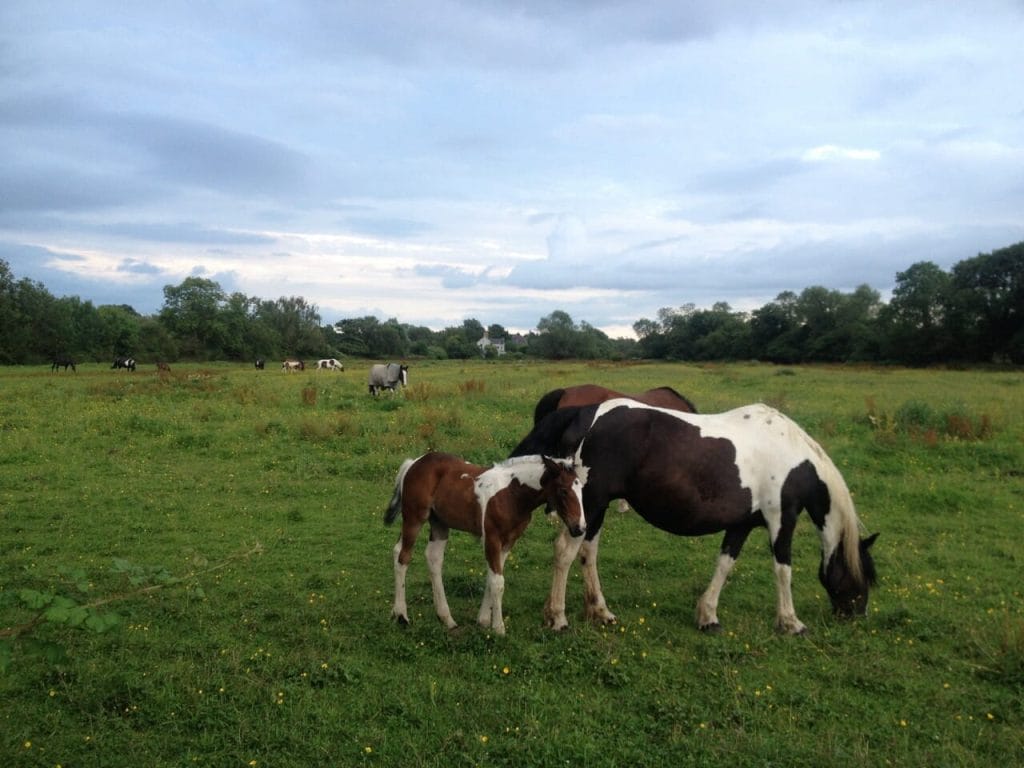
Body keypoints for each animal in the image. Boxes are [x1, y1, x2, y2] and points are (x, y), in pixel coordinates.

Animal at [385, 450, 589, 638]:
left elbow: (492, 578)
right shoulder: (492, 538)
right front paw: (498, 628)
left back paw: (446, 619)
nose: (580, 528)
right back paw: (402, 616)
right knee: (402, 557)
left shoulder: (508, 542)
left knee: (431, 558)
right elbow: (498, 582)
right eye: (563, 490)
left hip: (439, 523)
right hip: (414, 518)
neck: (513, 494)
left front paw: (483, 621)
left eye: (582, 490)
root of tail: (414, 463)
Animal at [512, 399, 880, 634]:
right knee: (565, 551)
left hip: (595, 510)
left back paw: (600, 611)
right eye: (862, 575)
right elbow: (783, 569)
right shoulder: (781, 519)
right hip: (589, 503)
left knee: (588, 553)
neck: (793, 457)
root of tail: (584, 413)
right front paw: (791, 622)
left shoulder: (741, 524)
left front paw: (708, 616)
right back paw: (557, 618)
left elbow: (726, 564)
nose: (857, 615)